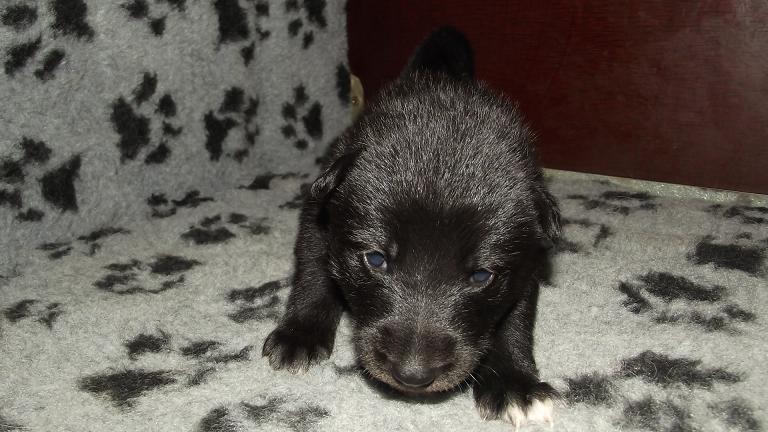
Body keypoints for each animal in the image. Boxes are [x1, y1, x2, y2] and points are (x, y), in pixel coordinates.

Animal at [262, 27, 560, 428]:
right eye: (375, 259)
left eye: (481, 276)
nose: (413, 375)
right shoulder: (319, 215)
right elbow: (313, 272)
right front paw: (299, 335)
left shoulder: (527, 258)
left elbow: (516, 316)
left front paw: (515, 385)